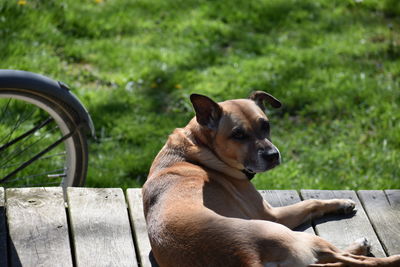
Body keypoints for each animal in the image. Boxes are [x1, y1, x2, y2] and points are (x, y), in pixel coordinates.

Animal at [142, 92, 398, 267]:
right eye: (238, 134)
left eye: (266, 125)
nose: (273, 155)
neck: (198, 147)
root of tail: (248, 259)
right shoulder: (271, 213)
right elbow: (310, 202)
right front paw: (342, 202)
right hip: (289, 233)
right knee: (354, 260)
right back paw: (371, 250)